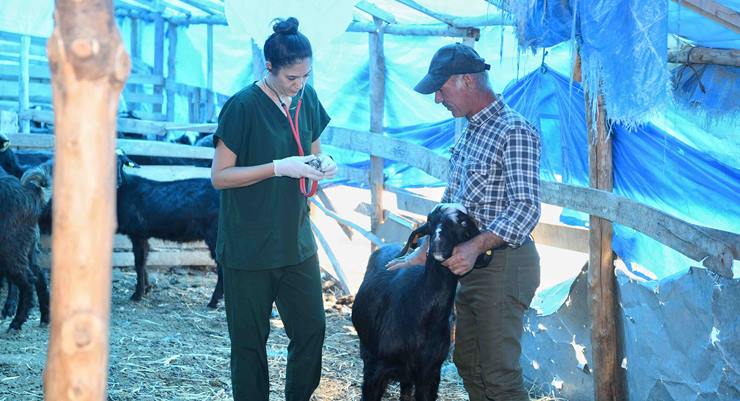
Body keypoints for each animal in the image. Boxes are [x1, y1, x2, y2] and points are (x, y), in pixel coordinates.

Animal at [0, 161, 52, 330]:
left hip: (11, 248)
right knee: (39, 276)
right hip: (28, 246)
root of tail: (31, 193)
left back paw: (15, 323)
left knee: (28, 282)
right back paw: (45, 317)